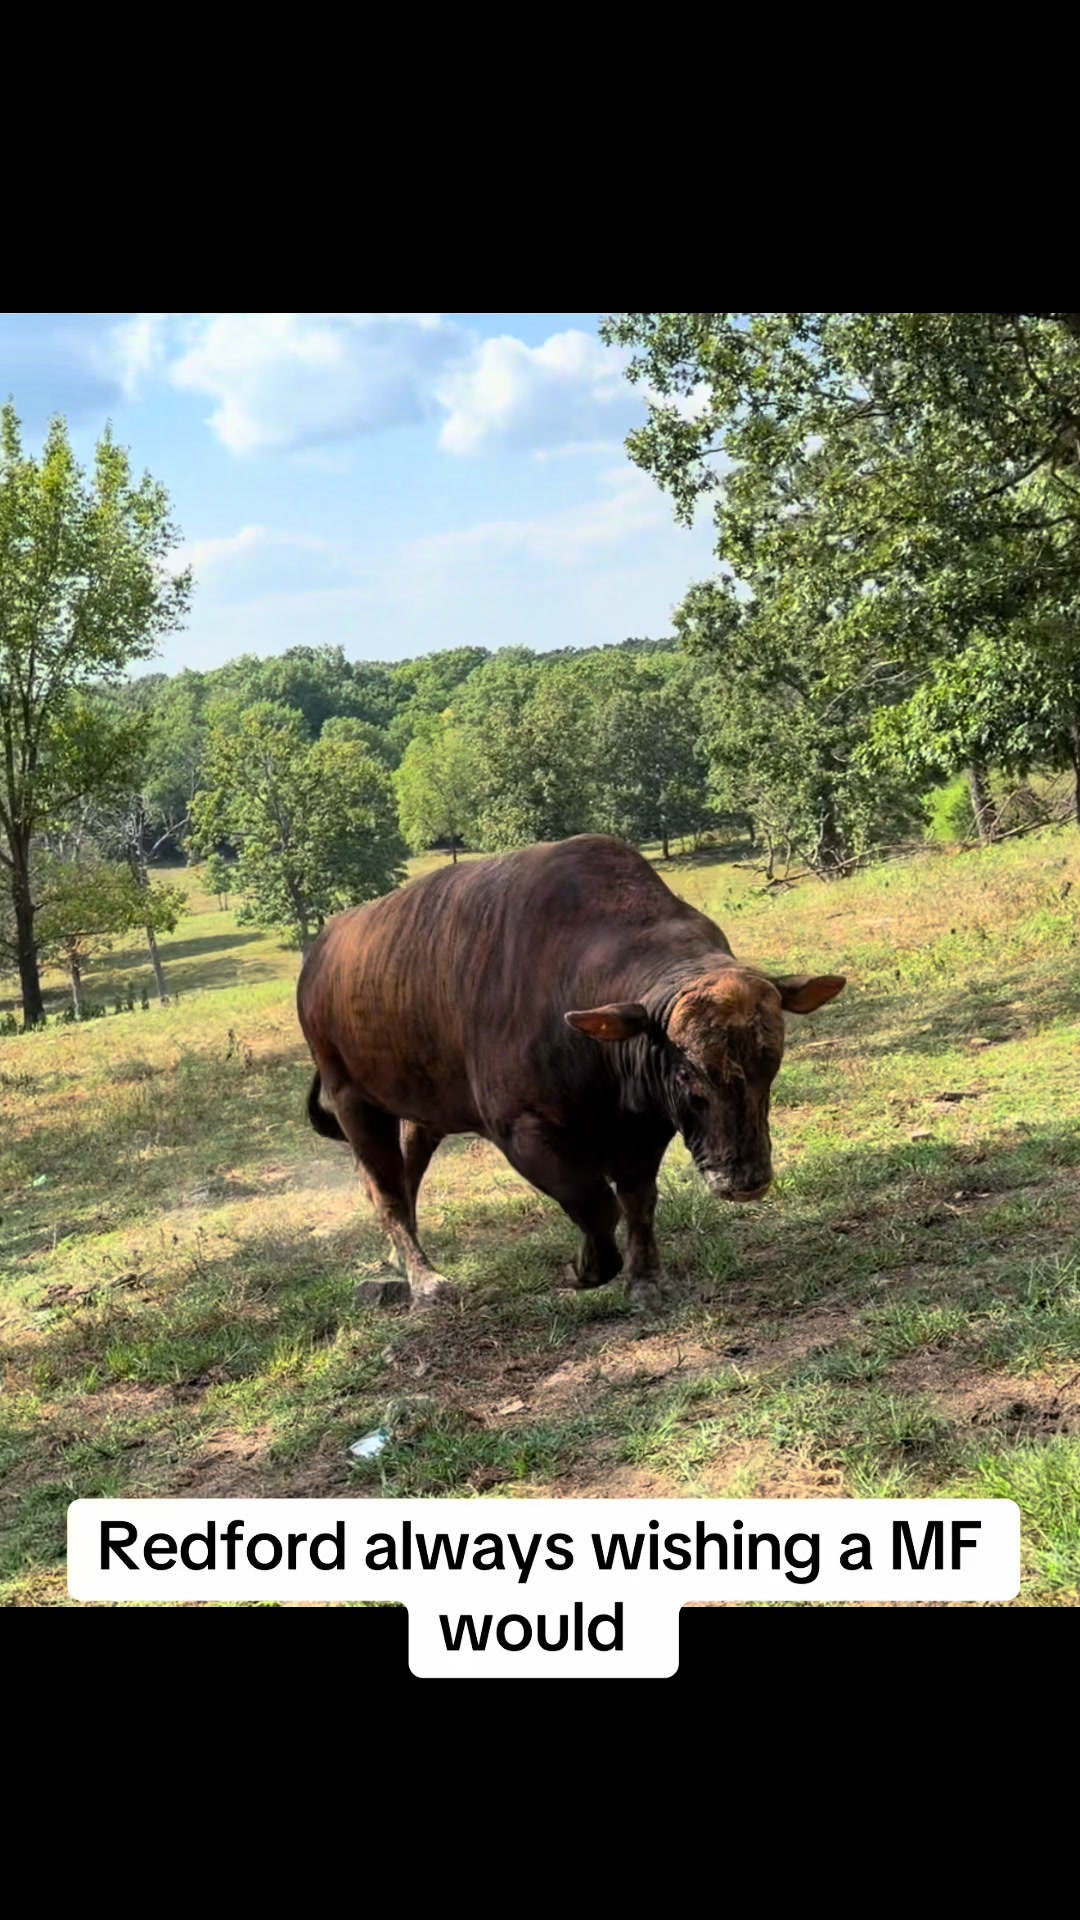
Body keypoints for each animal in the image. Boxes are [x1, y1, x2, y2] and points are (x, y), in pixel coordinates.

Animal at [296, 834, 846, 1312]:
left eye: (769, 1064)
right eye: (688, 1073)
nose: (745, 1179)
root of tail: (318, 959)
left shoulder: (643, 1131)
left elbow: (637, 1200)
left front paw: (645, 1280)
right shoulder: (523, 1131)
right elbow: (595, 1201)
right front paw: (589, 1268)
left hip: (419, 1113)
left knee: (405, 1177)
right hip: (353, 1101)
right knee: (386, 1191)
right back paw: (425, 1279)